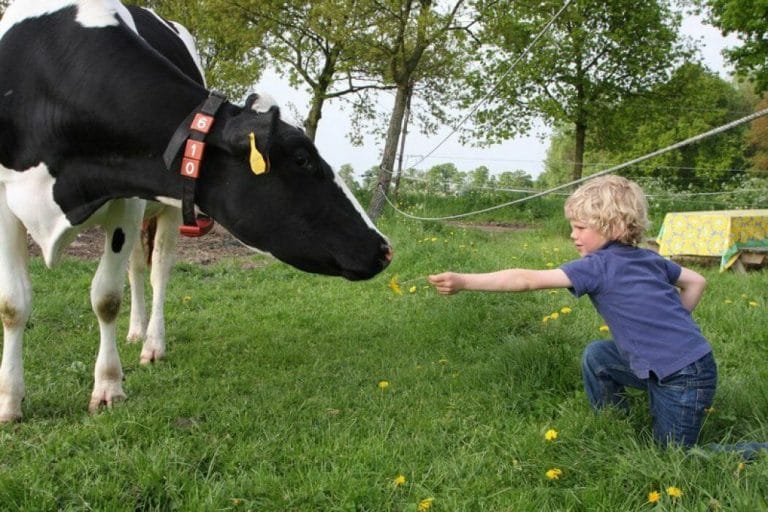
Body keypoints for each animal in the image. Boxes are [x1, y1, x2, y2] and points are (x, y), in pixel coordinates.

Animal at [0, 0, 392, 422]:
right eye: (303, 159)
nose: (384, 248)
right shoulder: (4, 199)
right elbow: (13, 304)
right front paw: (10, 401)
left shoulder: (127, 196)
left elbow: (106, 297)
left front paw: (108, 387)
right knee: (137, 269)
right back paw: (136, 330)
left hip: (165, 213)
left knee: (158, 269)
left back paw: (152, 343)